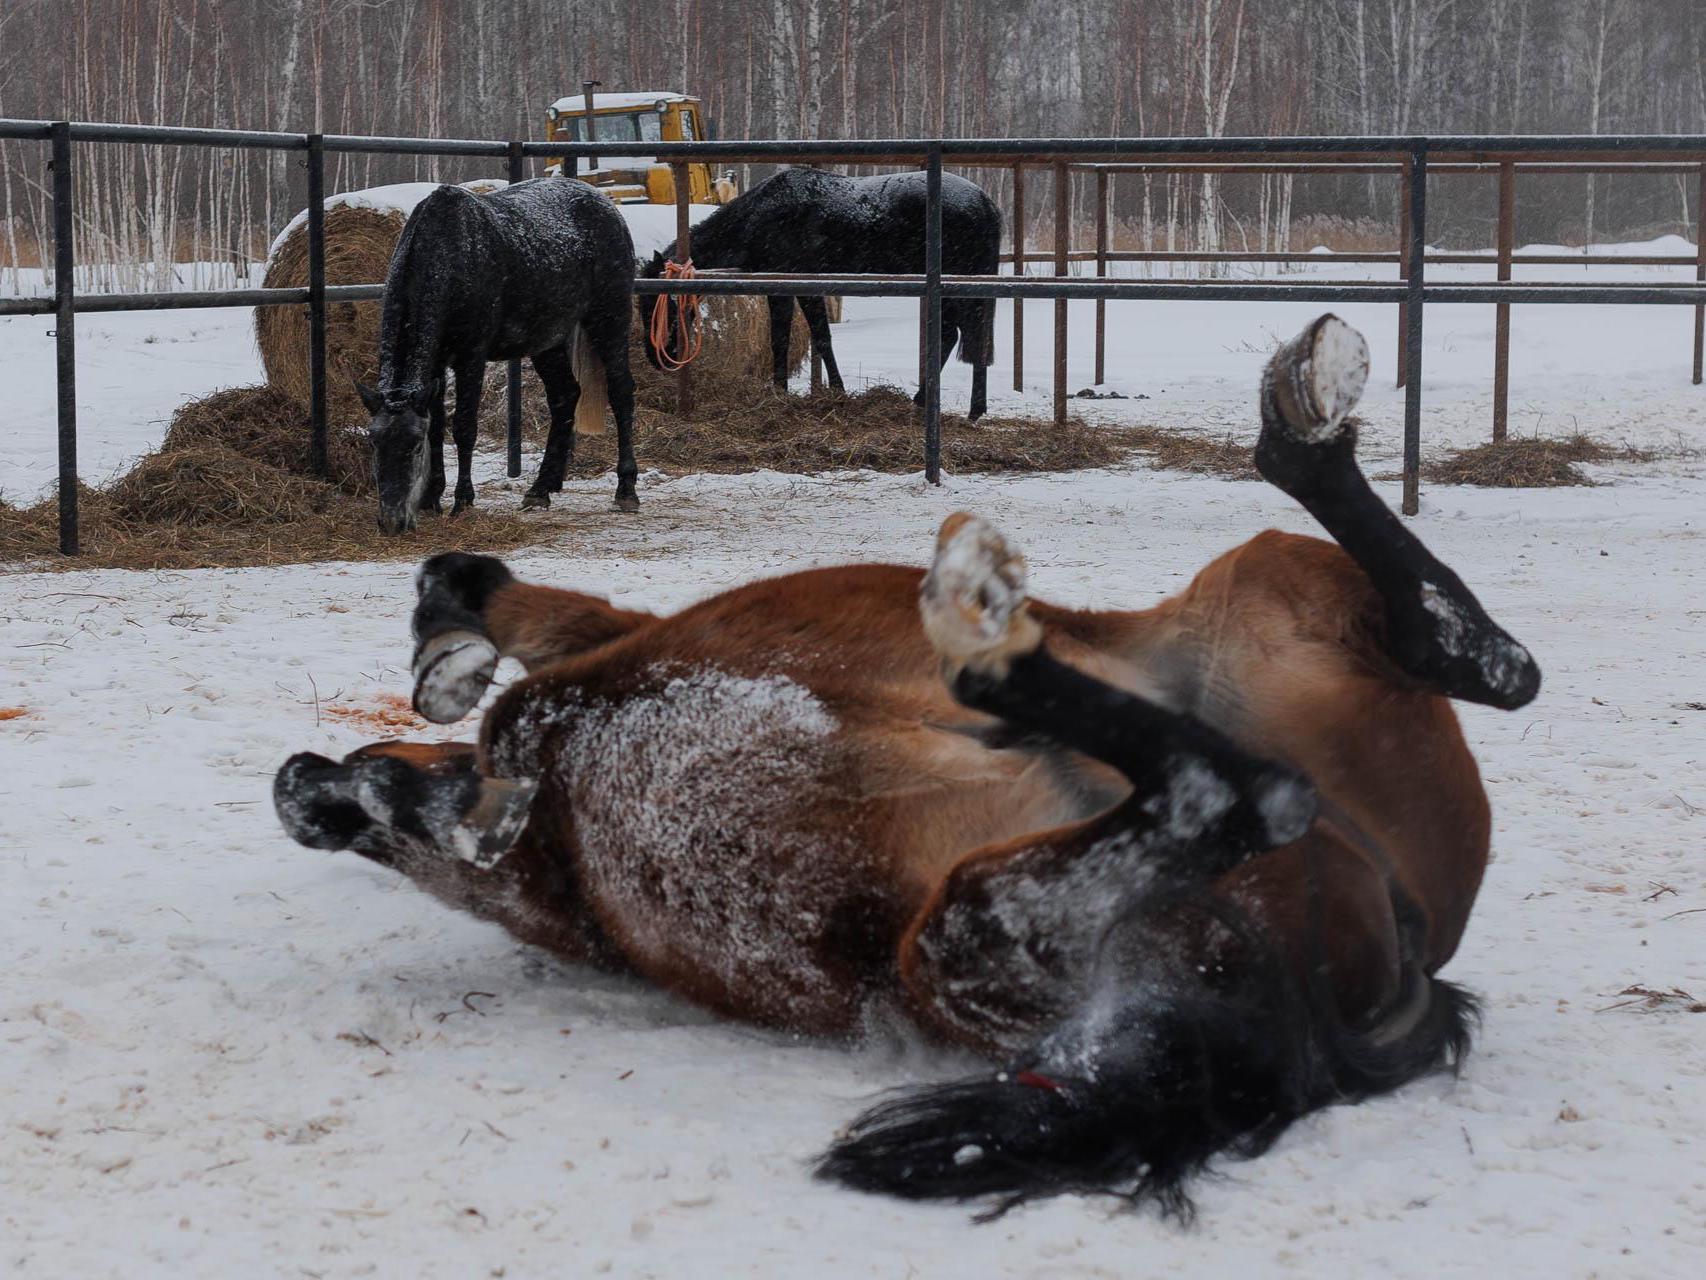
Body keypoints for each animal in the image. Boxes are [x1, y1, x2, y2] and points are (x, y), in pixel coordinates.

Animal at [275, 315, 1540, 1217]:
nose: (305, 784)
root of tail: (1382, 942)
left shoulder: (600, 646)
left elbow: (477, 587)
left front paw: (439, 670)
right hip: (968, 924)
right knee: (1243, 777)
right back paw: (992, 633)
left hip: (1262, 599)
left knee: (1475, 657)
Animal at [355, 176, 641, 534]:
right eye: (373, 442)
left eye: (414, 445)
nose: (392, 521)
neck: (447, 254)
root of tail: (606, 205)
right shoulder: (434, 366)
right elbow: (438, 427)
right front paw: (432, 498)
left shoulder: (470, 358)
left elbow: (463, 428)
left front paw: (463, 500)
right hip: (549, 340)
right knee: (565, 397)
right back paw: (541, 489)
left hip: (609, 320)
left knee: (621, 392)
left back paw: (626, 489)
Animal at [638, 168, 1002, 418]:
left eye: (654, 303)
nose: (656, 358)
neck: (761, 216)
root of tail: (987, 203)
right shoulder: (793, 289)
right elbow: (800, 338)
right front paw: (805, 391)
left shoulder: (795, 287)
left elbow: (805, 338)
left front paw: (813, 391)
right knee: (954, 337)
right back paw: (934, 402)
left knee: (965, 336)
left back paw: (967, 409)